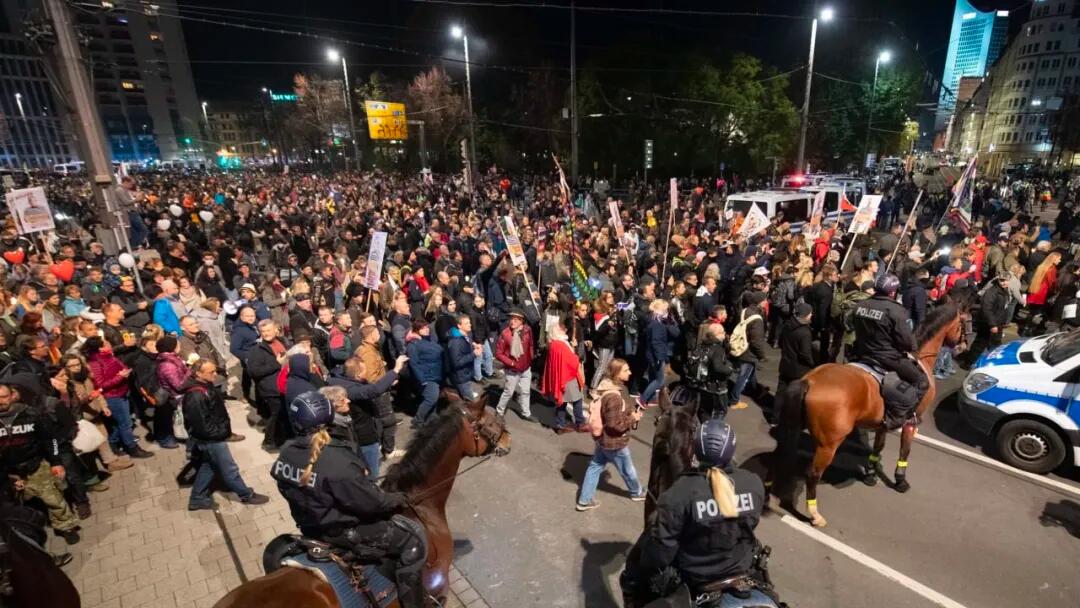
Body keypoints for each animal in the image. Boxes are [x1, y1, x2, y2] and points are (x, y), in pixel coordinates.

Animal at [770, 302, 963, 528]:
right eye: (962, 323)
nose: (961, 345)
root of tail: (810, 380)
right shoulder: (911, 423)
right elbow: (904, 452)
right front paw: (900, 481)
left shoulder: (882, 424)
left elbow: (878, 447)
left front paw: (871, 474)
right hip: (828, 445)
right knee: (813, 474)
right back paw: (815, 515)